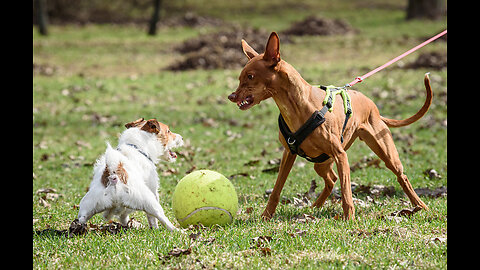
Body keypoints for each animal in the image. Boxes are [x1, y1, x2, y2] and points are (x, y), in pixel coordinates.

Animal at [228, 32, 432, 220]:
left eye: (250, 76)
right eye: (240, 78)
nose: (231, 96)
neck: (298, 106)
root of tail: (373, 106)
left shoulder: (341, 156)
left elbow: (346, 192)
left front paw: (349, 219)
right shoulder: (288, 154)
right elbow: (277, 189)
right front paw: (266, 216)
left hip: (385, 153)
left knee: (401, 177)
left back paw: (420, 206)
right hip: (321, 163)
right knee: (331, 180)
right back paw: (315, 206)